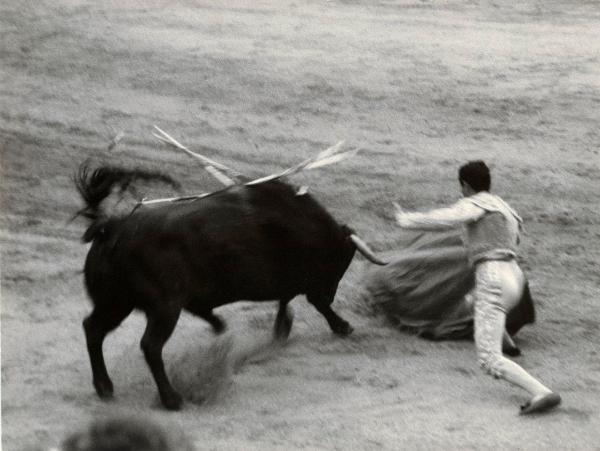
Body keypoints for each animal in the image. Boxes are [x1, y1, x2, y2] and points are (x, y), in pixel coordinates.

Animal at [75, 165, 386, 410]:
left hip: (116, 303)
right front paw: (341, 325)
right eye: (341, 262)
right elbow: (313, 302)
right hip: (163, 307)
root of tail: (111, 228)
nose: (333, 292)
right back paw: (171, 399)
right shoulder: (307, 281)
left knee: (93, 329)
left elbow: (286, 302)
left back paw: (104, 387)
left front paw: (278, 329)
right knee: (150, 345)